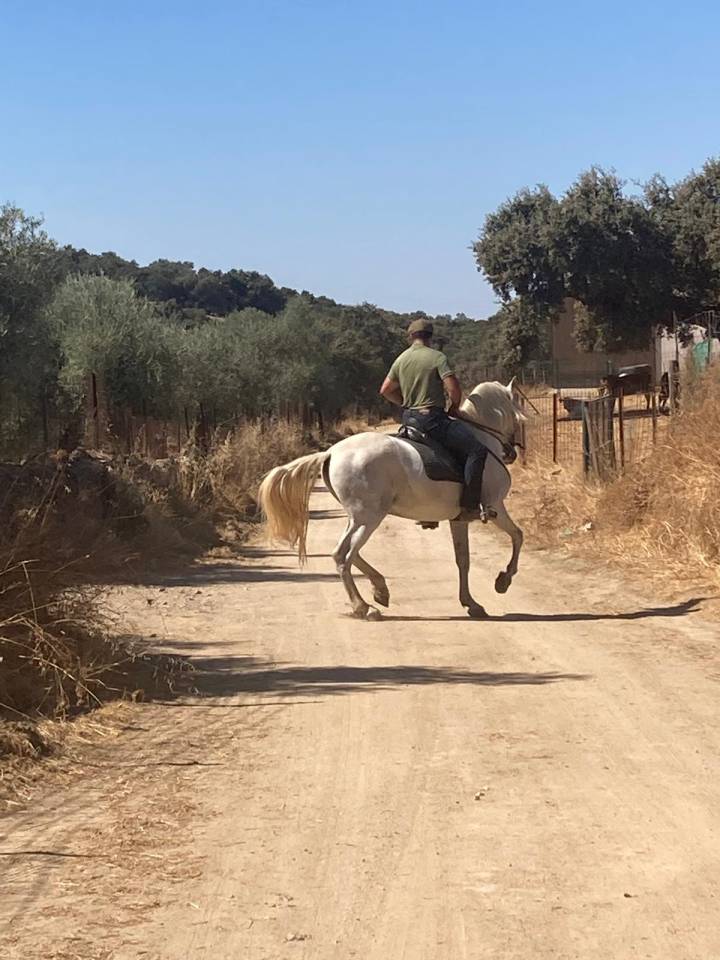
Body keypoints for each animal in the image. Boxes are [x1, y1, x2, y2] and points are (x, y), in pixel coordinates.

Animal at [258, 380, 527, 621]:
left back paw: (379, 590)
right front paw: (503, 580)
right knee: (344, 555)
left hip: (358, 518)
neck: (482, 438)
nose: (512, 453)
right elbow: (517, 536)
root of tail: (331, 452)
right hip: (369, 518)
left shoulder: (458, 520)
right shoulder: (495, 506)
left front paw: (471, 603)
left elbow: (463, 560)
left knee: (343, 553)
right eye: (520, 420)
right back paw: (365, 607)